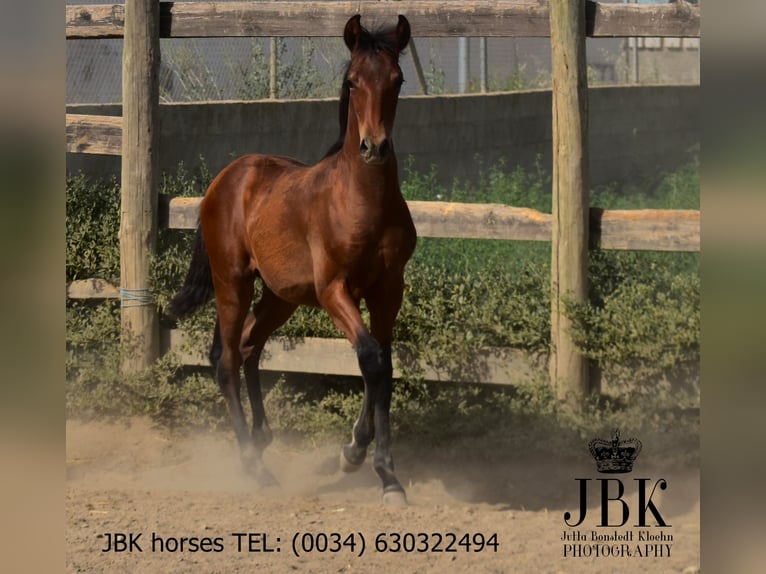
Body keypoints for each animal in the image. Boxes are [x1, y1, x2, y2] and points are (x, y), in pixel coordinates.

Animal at [167, 15, 416, 506]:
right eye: (352, 80)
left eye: (397, 80)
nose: (374, 147)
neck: (361, 202)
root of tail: (224, 180)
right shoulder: (334, 289)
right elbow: (370, 358)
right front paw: (360, 458)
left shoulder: (388, 291)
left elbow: (382, 364)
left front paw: (377, 468)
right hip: (233, 283)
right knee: (225, 358)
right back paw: (253, 465)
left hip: (280, 297)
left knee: (248, 346)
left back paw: (262, 439)